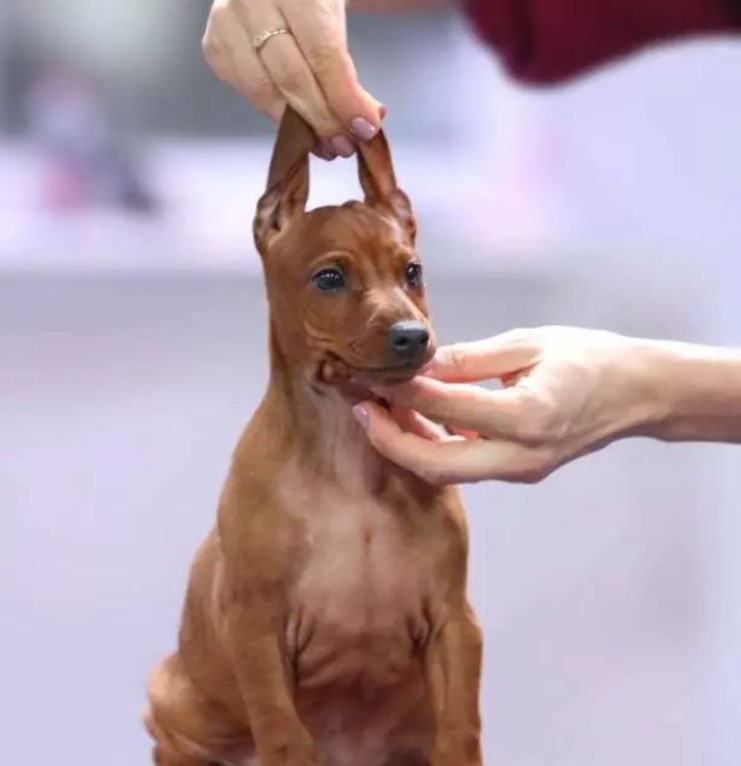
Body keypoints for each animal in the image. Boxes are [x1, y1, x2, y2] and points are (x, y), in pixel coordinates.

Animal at [144, 107, 483, 766]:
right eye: (328, 279)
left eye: (412, 272)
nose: (412, 336)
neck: (348, 461)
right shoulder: (256, 631)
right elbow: (282, 732)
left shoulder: (454, 623)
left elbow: (461, 730)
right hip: (172, 708)